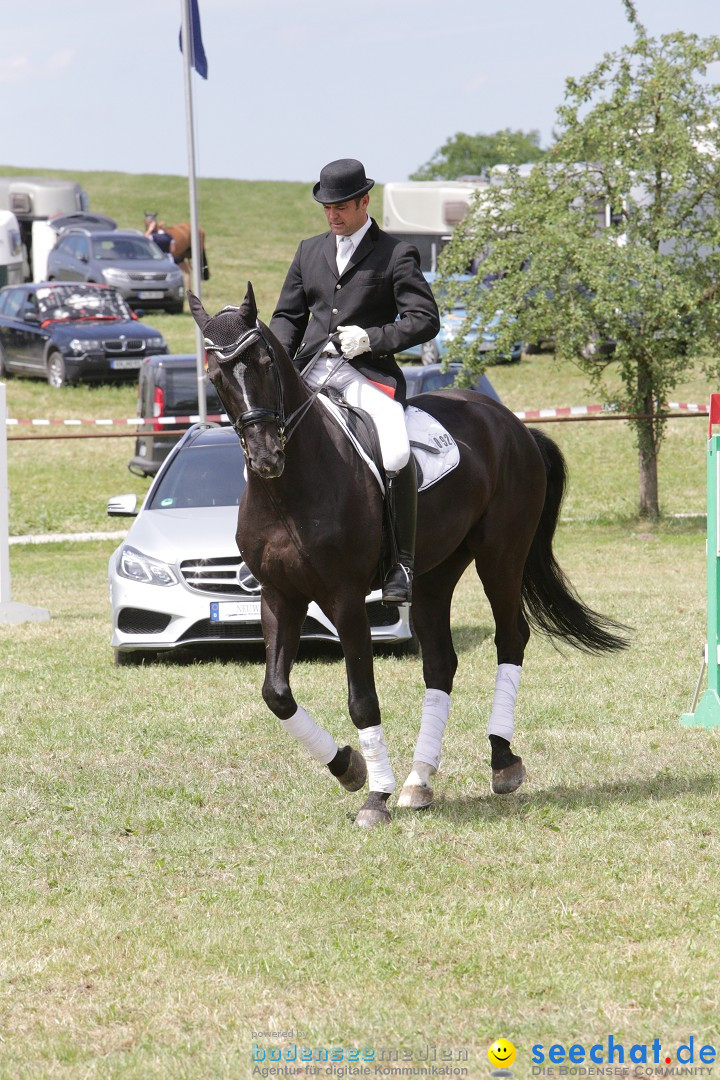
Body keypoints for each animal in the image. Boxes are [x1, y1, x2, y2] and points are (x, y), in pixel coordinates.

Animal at [188, 285, 626, 825]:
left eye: (266, 363)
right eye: (215, 375)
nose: (267, 456)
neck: (289, 489)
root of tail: (511, 423)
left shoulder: (345, 599)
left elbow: (361, 698)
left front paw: (375, 795)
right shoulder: (279, 595)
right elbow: (276, 694)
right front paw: (348, 767)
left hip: (500, 555)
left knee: (511, 638)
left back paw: (501, 761)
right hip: (435, 574)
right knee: (439, 663)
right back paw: (419, 781)